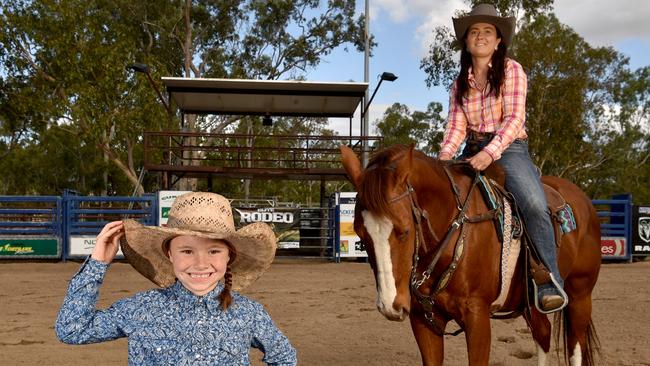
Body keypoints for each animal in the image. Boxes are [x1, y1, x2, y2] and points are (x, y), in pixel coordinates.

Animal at [342, 144, 600, 364]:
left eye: (404, 231)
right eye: (361, 235)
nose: (390, 306)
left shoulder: (477, 318)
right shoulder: (423, 320)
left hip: (580, 294)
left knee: (575, 345)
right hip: (530, 302)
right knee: (543, 333)